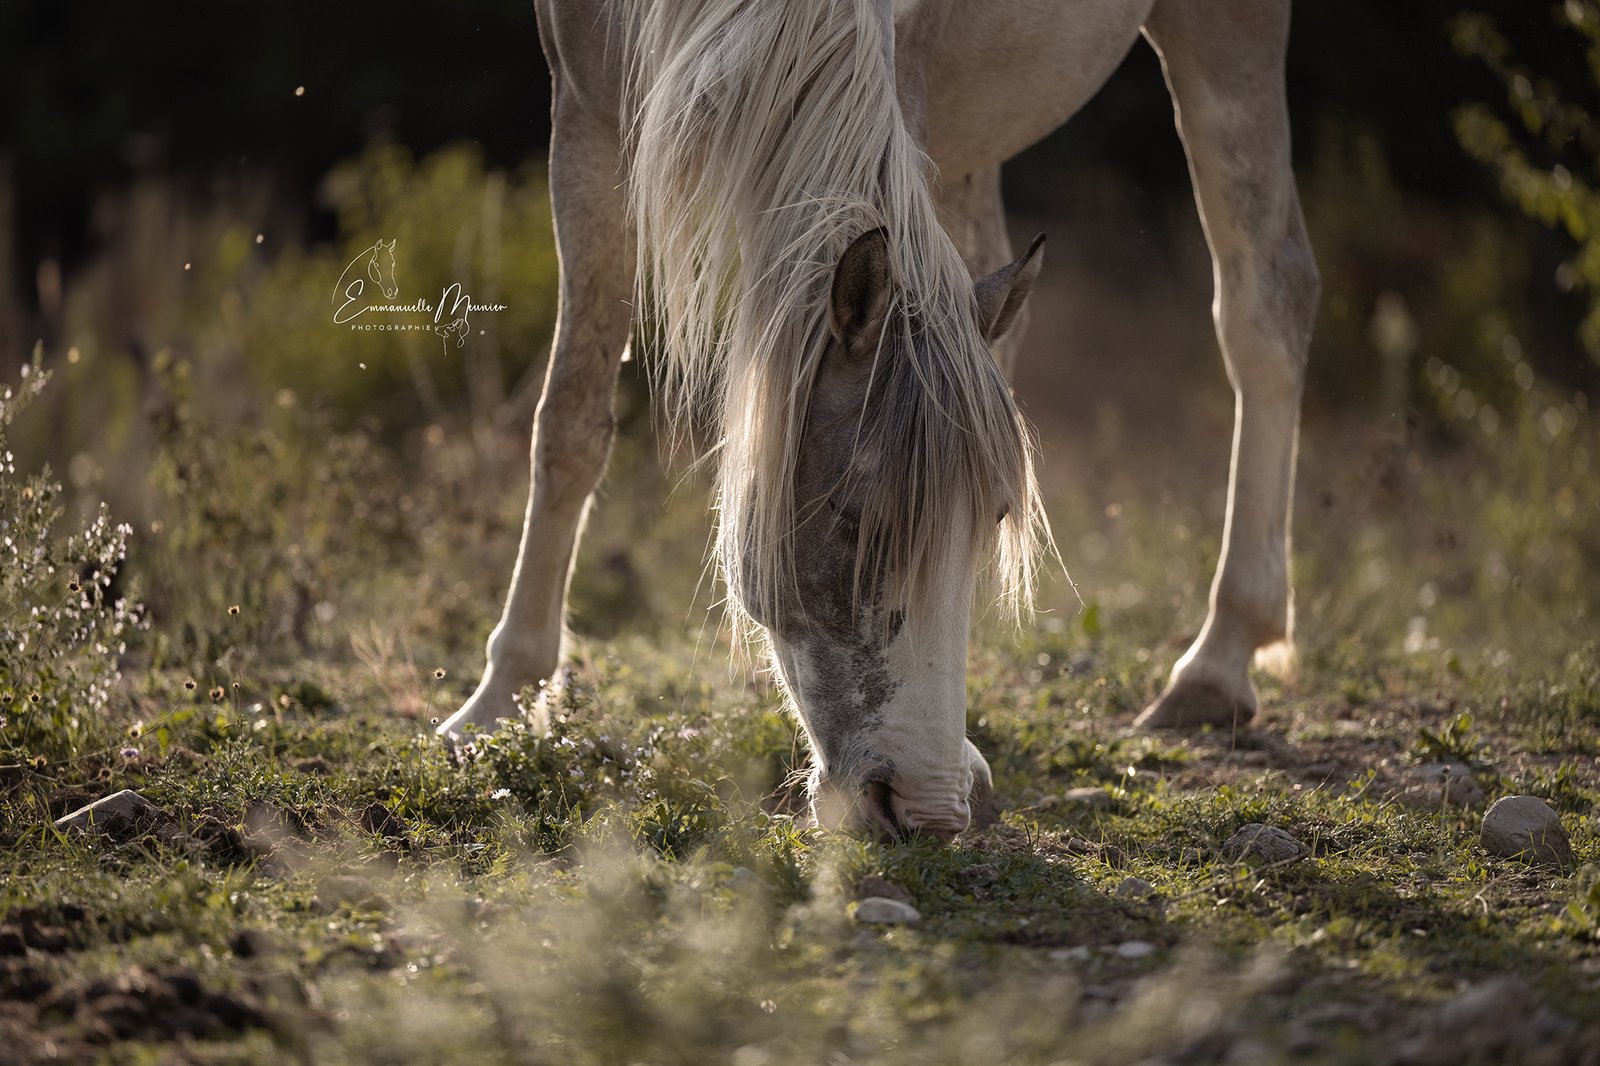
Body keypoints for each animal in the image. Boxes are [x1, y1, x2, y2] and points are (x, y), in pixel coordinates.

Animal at [441, 0, 1324, 838]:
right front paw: (497, 702)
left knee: (1264, 307)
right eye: (856, 523)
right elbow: (570, 418)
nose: (928, 809)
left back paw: (1217, 662)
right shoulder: (587, 117)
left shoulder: (913, 78)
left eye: (993, 522)